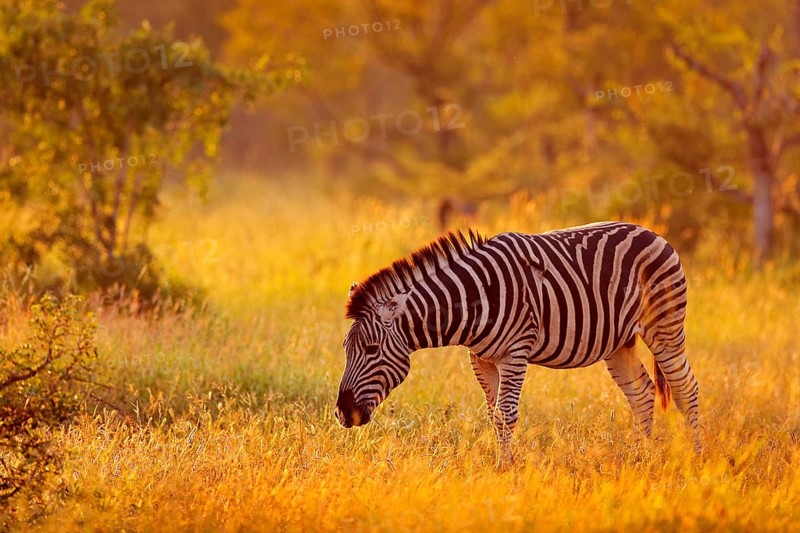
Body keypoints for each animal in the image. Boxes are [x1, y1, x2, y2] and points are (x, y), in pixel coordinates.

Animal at [336, 222, 701, 461]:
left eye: (371, 349)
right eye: (345, 350)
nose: (342, 413)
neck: (473, 300)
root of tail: (653, 233)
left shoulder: (514, 353)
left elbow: (506, 414)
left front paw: (505, 469)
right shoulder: (480, 359)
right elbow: (493, 414)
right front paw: (501, 465)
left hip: (664, 327)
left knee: (685, 388)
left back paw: (696, 457)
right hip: (619, 342)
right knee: (642, 393)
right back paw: (642, 457)